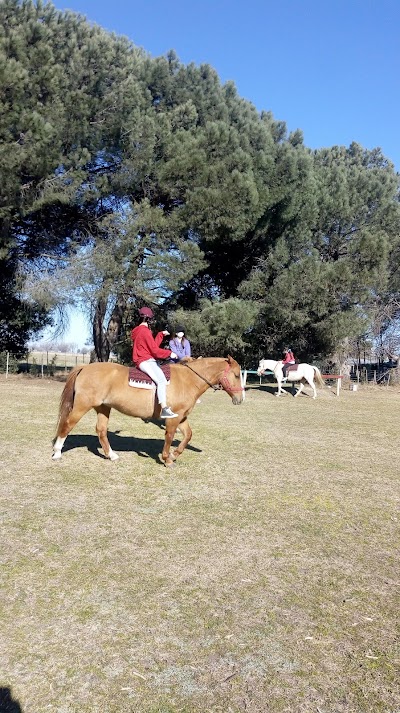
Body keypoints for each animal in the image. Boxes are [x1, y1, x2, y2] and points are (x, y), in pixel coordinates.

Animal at [51, 354, 242, 464]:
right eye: (237, 375)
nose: (240, 399)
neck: (188, 379)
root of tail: (85, 367)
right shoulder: (173, 418)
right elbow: (169, 436)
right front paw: (167, 458)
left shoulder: (181, 417)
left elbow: (188, 435)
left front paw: (175, 454)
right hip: (82, 406)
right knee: (67, 425)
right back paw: (57, 453)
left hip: (103, 407)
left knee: (101, 430)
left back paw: (111, 455)